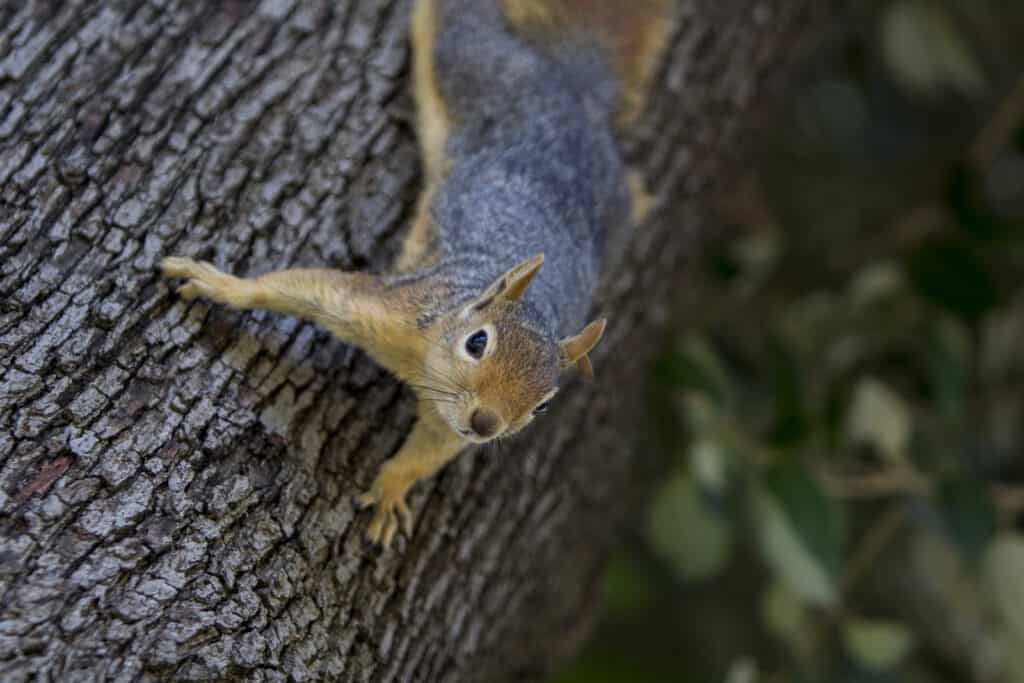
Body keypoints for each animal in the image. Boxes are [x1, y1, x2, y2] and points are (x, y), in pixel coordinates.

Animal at [161, 0, 673, 548]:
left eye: (542, 406)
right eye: (476, 342)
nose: (487, 423)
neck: (426, 358)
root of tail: (577, 97)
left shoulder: (448, 422)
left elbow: (430, 449)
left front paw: (392, 488)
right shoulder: (397, 306)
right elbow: (314, 290)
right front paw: (226, 286)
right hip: (472, 66)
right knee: (452, 27)